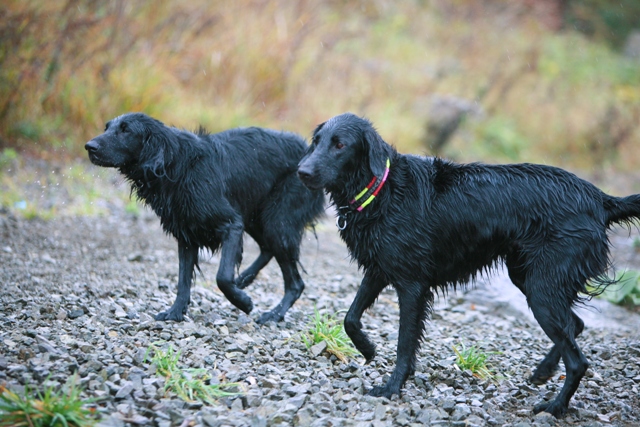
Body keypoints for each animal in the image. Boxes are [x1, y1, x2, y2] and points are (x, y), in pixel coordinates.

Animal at [86, 113, 324, 324]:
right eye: (107, 127)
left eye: (125, 130)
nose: (89, 146)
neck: (176, 165)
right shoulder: (187, 236)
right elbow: (183, 281)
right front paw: (175, 313)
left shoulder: (231, 224)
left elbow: (222, 277)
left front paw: (243, 303)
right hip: (256, 217)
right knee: (267, 249)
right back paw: (245, 279)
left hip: (276, 220)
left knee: (295, 283)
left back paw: (273, 314)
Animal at [298, 113, 640, 418]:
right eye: (316, 142)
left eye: (340, 145)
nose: (301, 171)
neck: (382, 192)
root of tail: (600, 199)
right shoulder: (379, 269)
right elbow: (350, 318)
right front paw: (368, 349)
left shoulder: (412, 285)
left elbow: (404, 345)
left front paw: (392, 387)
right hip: (529, 278)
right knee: (575, 325)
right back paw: (543, 372)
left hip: (542, 288)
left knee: (578, 359)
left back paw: (555, 407)